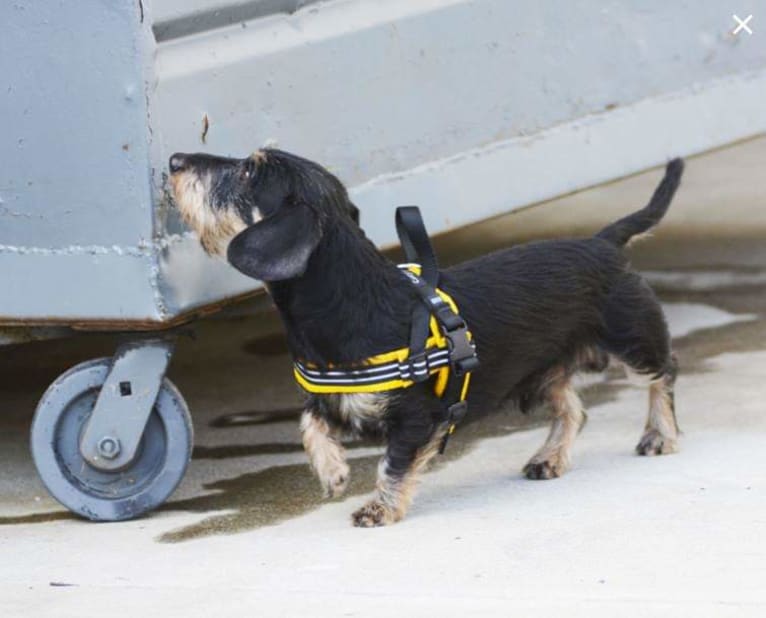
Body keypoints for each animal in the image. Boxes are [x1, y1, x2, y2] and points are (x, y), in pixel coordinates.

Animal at [170, 149, 684, 524]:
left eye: (248, 171)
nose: (174, 160)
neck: (352, 301)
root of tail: (601, 242)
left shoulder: (417, 418)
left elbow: (392, 463)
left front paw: (379, 507)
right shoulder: (328, 399)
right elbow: (309, 424)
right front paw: (333, 472)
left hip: (632, 340)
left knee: (664, 373)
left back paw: (660, 435)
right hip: (540, 373)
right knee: (573, 410)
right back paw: (550, 458)